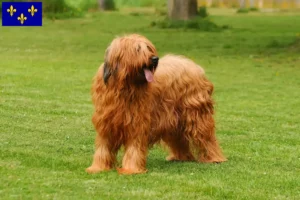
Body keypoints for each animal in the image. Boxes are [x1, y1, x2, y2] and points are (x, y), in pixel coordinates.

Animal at [85, 33, 226, 174]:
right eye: (137, 49)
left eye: (149, 48)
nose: (154, 59)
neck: (125, 87)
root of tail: (194, 66)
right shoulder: (106, 121)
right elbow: (103, 146)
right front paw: (98, 167)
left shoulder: (138, 121)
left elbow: (134, 147)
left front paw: (131, 169)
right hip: (174, 119)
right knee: (179, 138)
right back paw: (181, 157)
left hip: (196, 115)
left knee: (206, 137)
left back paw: (214, 158)